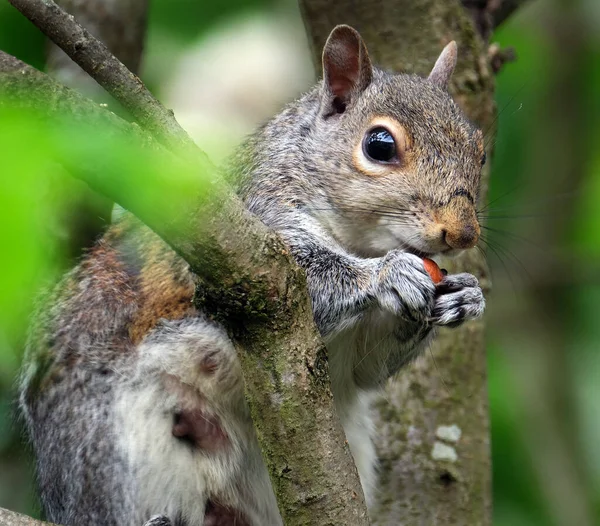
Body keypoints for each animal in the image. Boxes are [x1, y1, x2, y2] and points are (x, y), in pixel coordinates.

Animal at [19, 24, 488, 526]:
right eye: (379, 145)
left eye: (480, 152)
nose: (461, 233)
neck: (360, 240)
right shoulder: (249, 224)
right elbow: (307, 279)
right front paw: (387, 275)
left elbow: (369, 368)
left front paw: (465, 296)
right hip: (113, 451)